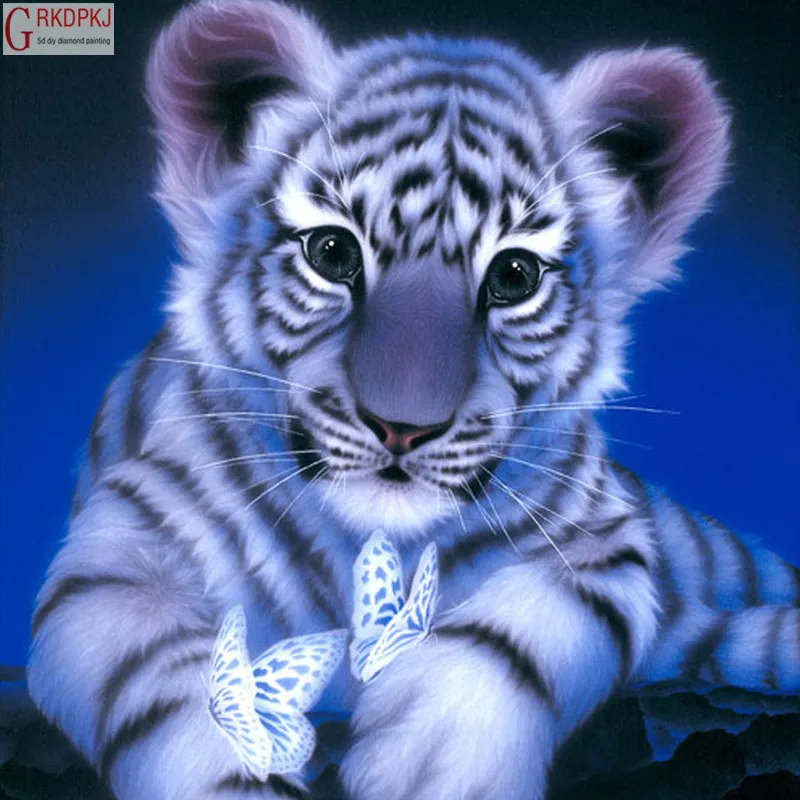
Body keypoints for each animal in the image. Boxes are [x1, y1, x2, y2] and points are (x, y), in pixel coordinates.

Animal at [26, 1, 800, 799]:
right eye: (331, 253)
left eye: (515, 275)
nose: (402, 428)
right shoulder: (120, 554)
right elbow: (178, 686)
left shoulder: (604, 539)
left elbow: (522, 628)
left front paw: (437, 757)